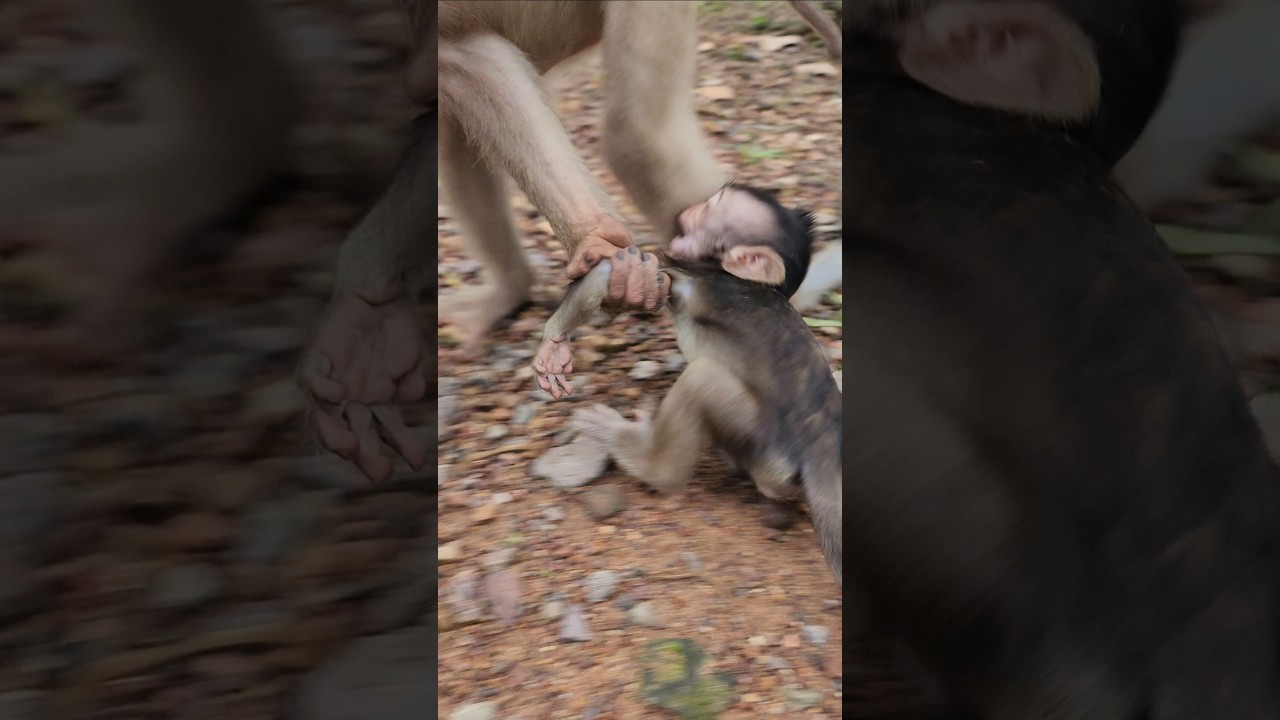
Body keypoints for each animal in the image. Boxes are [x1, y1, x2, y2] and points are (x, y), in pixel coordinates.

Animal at [531, 184, 842, 582]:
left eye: (710, 208)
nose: (687, 209)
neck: (723, 270)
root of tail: (822, 446)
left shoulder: (685, 271)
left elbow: (612, 271)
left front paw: (553, 341)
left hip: (767, 453)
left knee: (701, 380)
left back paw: (638, 455)